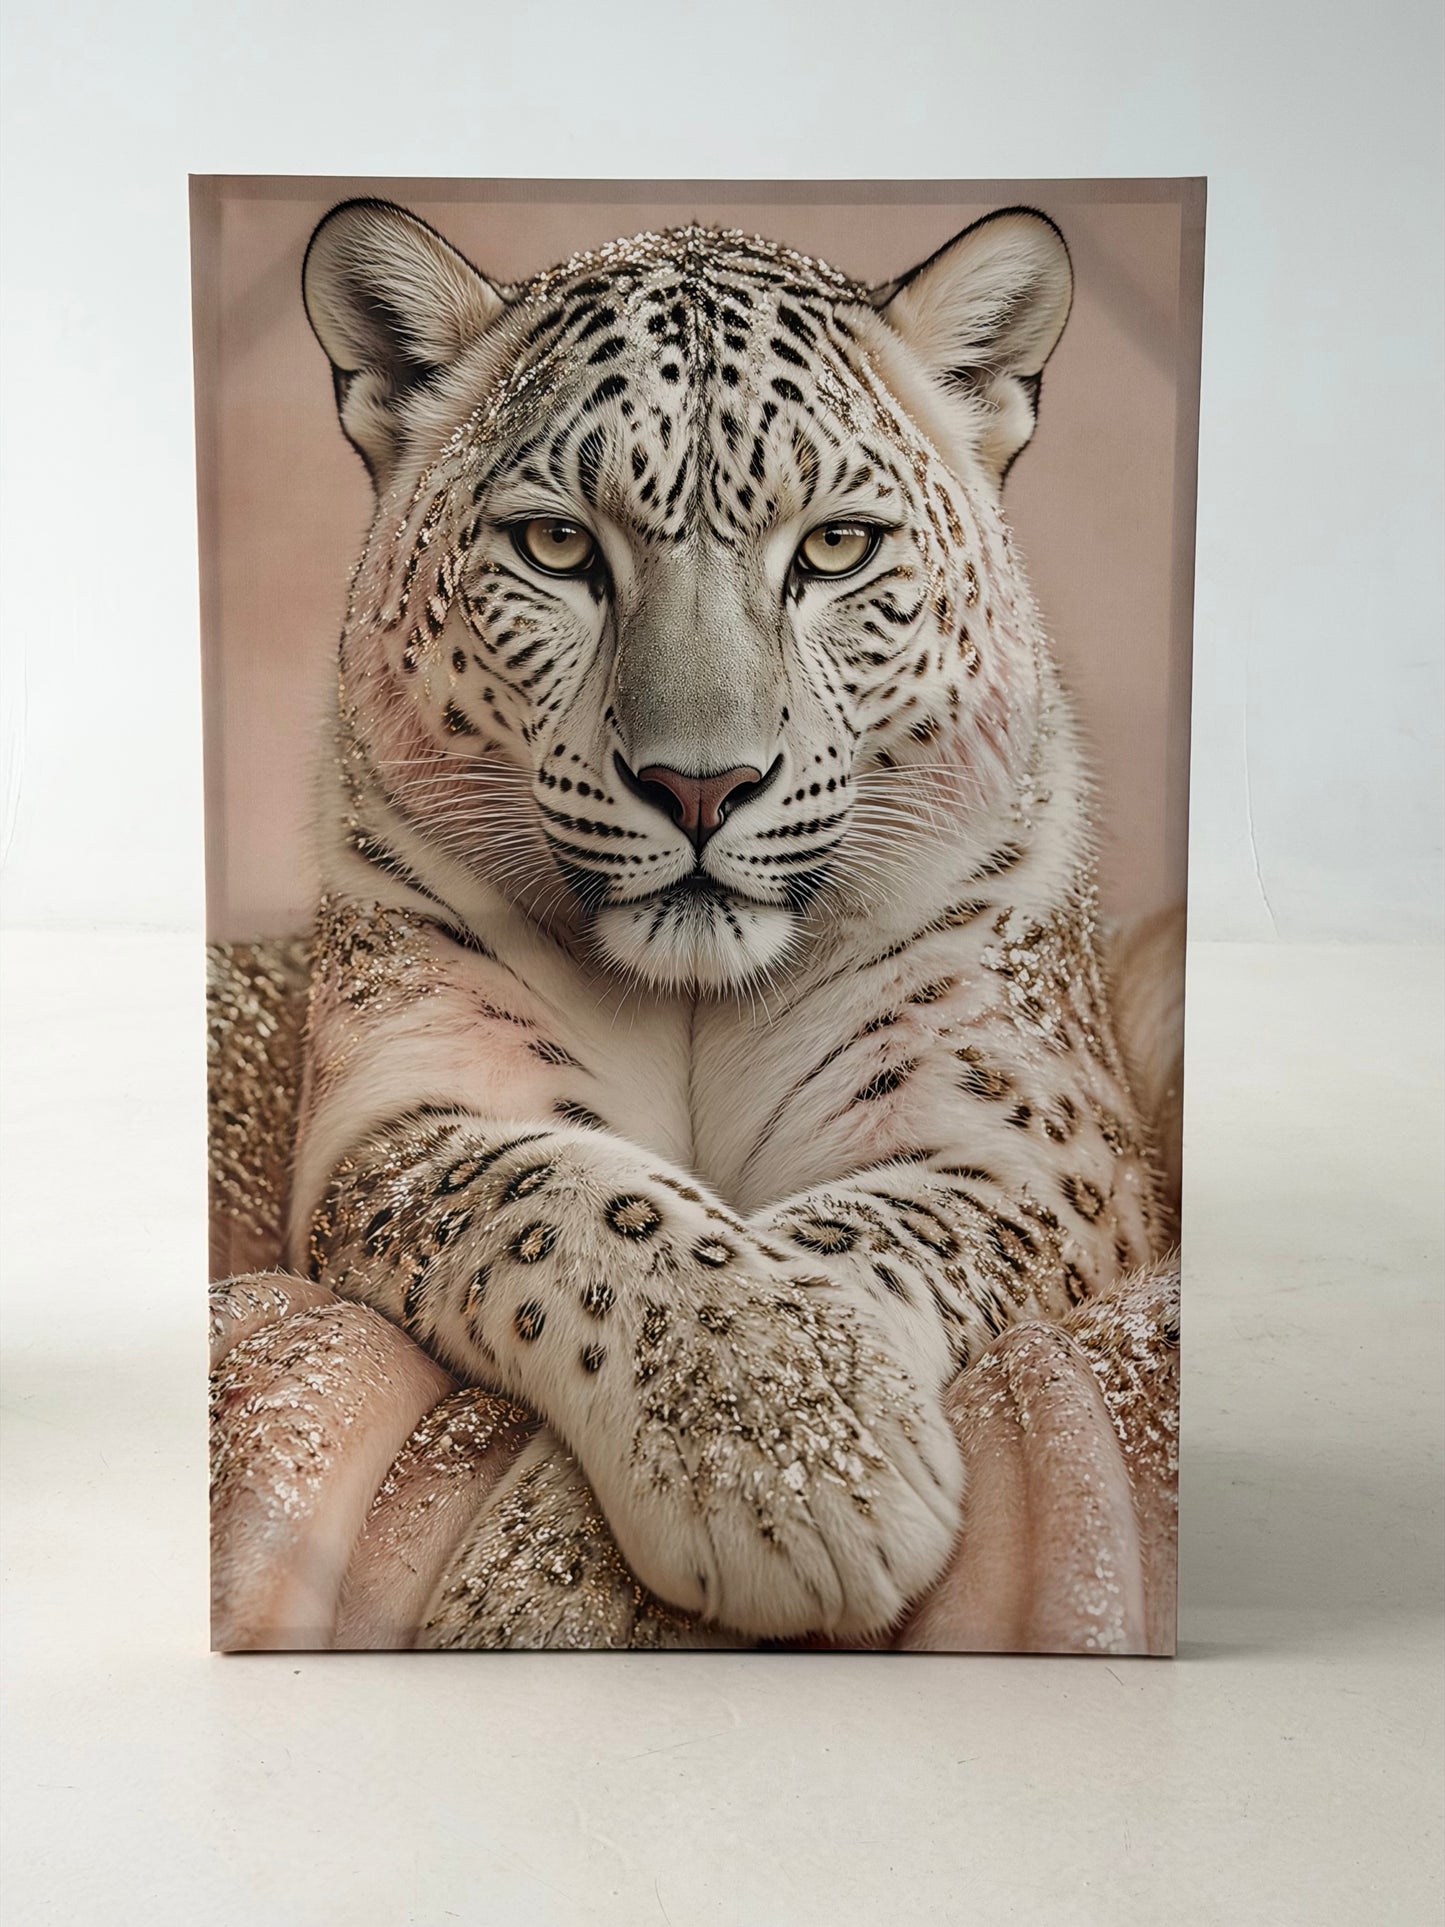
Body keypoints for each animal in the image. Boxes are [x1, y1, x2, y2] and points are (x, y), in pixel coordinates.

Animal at [284, 198, 1170, 1646]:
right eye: (557, 547)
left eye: (834, 547)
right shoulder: (403, 1100)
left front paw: (788, 1467)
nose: (699, 781)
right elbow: (565, 1200)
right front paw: (771, 1466)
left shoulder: (1026, 1126)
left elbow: (861, 1227)